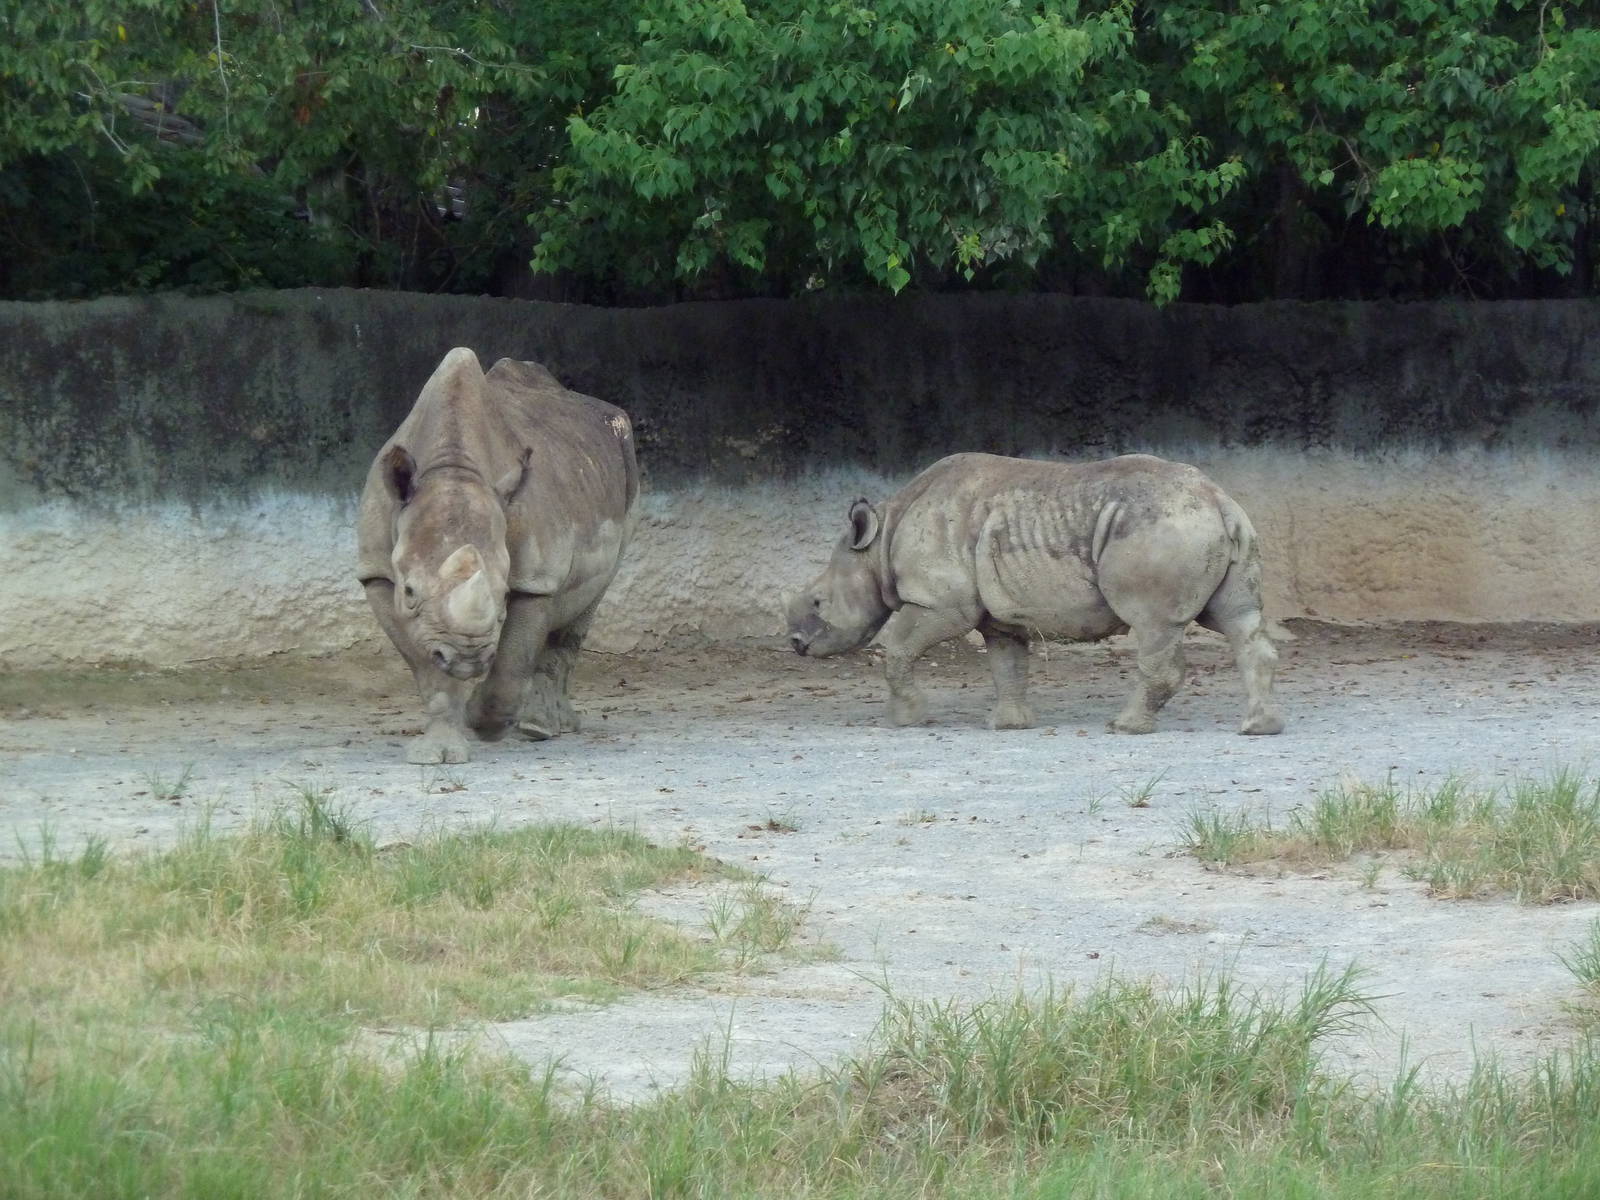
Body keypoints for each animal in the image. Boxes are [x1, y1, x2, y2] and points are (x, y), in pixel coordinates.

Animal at [357, 347, 638, 763]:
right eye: (408, 592)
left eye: (504, 593)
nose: (469, 659)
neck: (452, 467)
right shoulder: (376, 571)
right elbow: (426, 665)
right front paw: (436, 753)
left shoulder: (535, 578)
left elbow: (512, 658)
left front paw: (482, 721)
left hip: (623, 461)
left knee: (587, 602)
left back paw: (540, 727)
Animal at [785, 453, 1283, 735]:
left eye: (818, 602)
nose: (795, 644)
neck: (878, 544)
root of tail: (1220, 500)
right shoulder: (999, 614)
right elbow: (1007, 664)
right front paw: (1007, 725)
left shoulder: (940, 602)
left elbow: (899, 649)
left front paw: (909, 719)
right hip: (1209, 525)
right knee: (1238, 620)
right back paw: (1259, 728)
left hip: (1162, 527)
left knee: (1155, 625)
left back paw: (1125, 727)